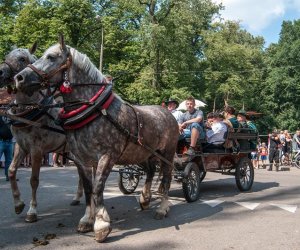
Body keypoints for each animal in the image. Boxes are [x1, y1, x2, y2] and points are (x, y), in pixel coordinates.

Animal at [0, 45, 83, 223]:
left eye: (22, 59)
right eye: (7, 55)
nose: (0, 72)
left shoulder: (36, 150)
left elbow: (34, 180)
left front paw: (32, 211)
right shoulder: (20, 146)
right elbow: (11, 171)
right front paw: (18, 204)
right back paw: (77, 197)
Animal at [14, 35, 178, 242]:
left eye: (51, 57)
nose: (18, 78)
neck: (95, 110)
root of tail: (167, 113)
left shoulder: (107, 157)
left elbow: (99, 187)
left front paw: (101, 225)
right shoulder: (80, 159)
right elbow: (88, 188)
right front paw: (86, 220)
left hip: (167, 153)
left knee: (166, 178)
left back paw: (162, 208)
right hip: (142, 153)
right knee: (149, 171)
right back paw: (145, 199)